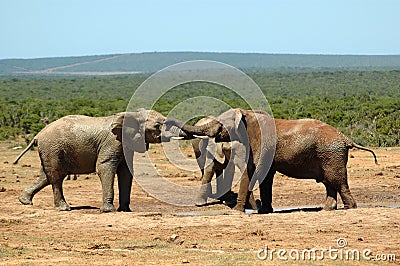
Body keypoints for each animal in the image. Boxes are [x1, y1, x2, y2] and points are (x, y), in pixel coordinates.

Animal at [13, 108, 185, 212]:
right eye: (157, 126)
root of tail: (37, 135)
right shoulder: (112, 142)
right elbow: (104, 167)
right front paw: (109, 211)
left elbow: (125, 172)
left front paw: (125, 210)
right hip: (53, 149)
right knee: (56, 177)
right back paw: (64, 208)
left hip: (50, 151)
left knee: (45, 176)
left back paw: (25, 201)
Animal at [166, 107, 378, 213]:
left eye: (220, 124)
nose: (165, 122)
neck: (247, 115)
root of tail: (346, 138)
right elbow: (266, 176)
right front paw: (265, 210)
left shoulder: (260, 143)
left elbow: (252, 172)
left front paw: (237, 211)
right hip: (327, 155)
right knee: (329, 183)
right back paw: (327, 210)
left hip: (331, 154)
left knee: (337, 181)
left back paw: (349, 208)